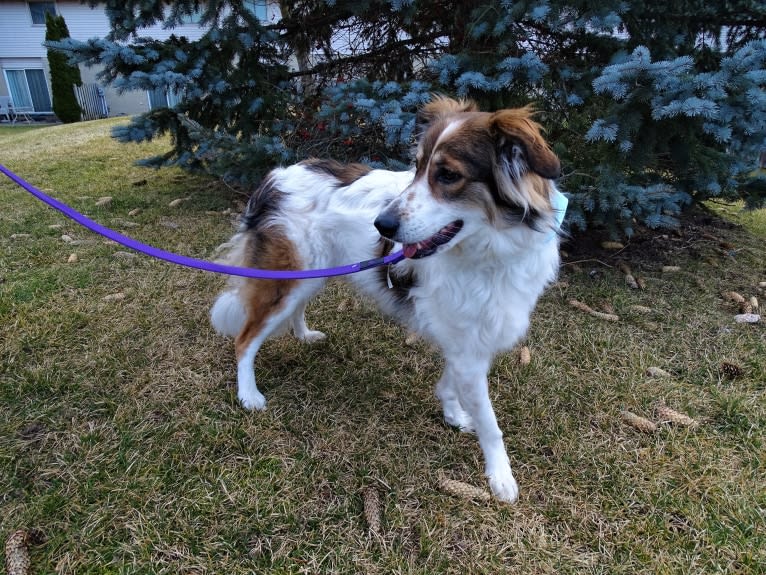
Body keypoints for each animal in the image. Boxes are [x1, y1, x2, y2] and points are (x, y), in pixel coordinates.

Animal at [213, 97, 568, 502]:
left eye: (448, 175)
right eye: (417, 167)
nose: (381, 226)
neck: (490, 250)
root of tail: (275, 178)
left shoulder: (468, 336)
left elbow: (452, 382)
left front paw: (452, 413)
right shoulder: (469, 341)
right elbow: (490, 423)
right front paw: (500, 476)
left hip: (309, 275)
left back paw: (302, 335)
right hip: (285, 281)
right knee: (245, 340)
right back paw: (248, 394)